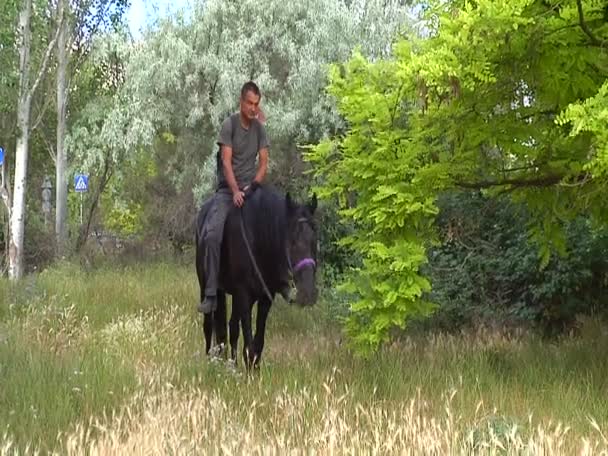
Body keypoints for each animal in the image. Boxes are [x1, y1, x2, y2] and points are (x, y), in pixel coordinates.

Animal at [195, 184, 318, 366]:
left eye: (315, 240)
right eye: (291, 241)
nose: (308, 294)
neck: (258, 238)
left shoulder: (264, 299)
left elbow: (257, 345)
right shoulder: (244, 294)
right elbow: (249, 344)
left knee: (230, 328)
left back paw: (231, 364)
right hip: (206, 287)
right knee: (209, 325)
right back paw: (211, 361)